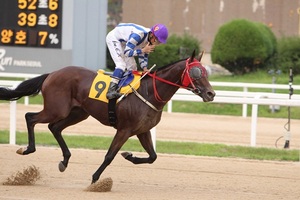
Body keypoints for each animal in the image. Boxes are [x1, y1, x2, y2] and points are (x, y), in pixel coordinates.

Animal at [0, 50, 216, 184]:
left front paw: (129, 156)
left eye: (206, 72)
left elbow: (153, 157)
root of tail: (52, 73)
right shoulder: (124, 129)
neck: (149, 92)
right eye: (196, 72)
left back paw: (65, 160)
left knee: (54, 127)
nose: (211, 93)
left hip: (79, 113)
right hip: (57, 109)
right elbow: (110, 155)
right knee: (31, 117)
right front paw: (95, 179)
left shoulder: (143, 131)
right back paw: (27, 149)